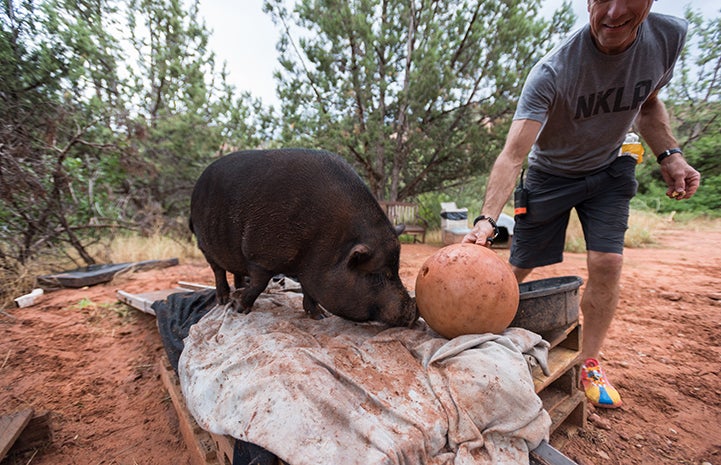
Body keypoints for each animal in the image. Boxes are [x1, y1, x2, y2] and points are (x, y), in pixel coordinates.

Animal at [188, 149, 420, 326]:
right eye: (378, 275)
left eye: (396, 270)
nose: (415, 311)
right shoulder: (260, 255)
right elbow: (260, 283)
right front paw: (238, 308)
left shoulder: (307, 267)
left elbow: (309, 290)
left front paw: (320, 317)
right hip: (204, 244)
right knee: (218, 270)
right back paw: (224, 299)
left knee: (236, 271)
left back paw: (238, 287)